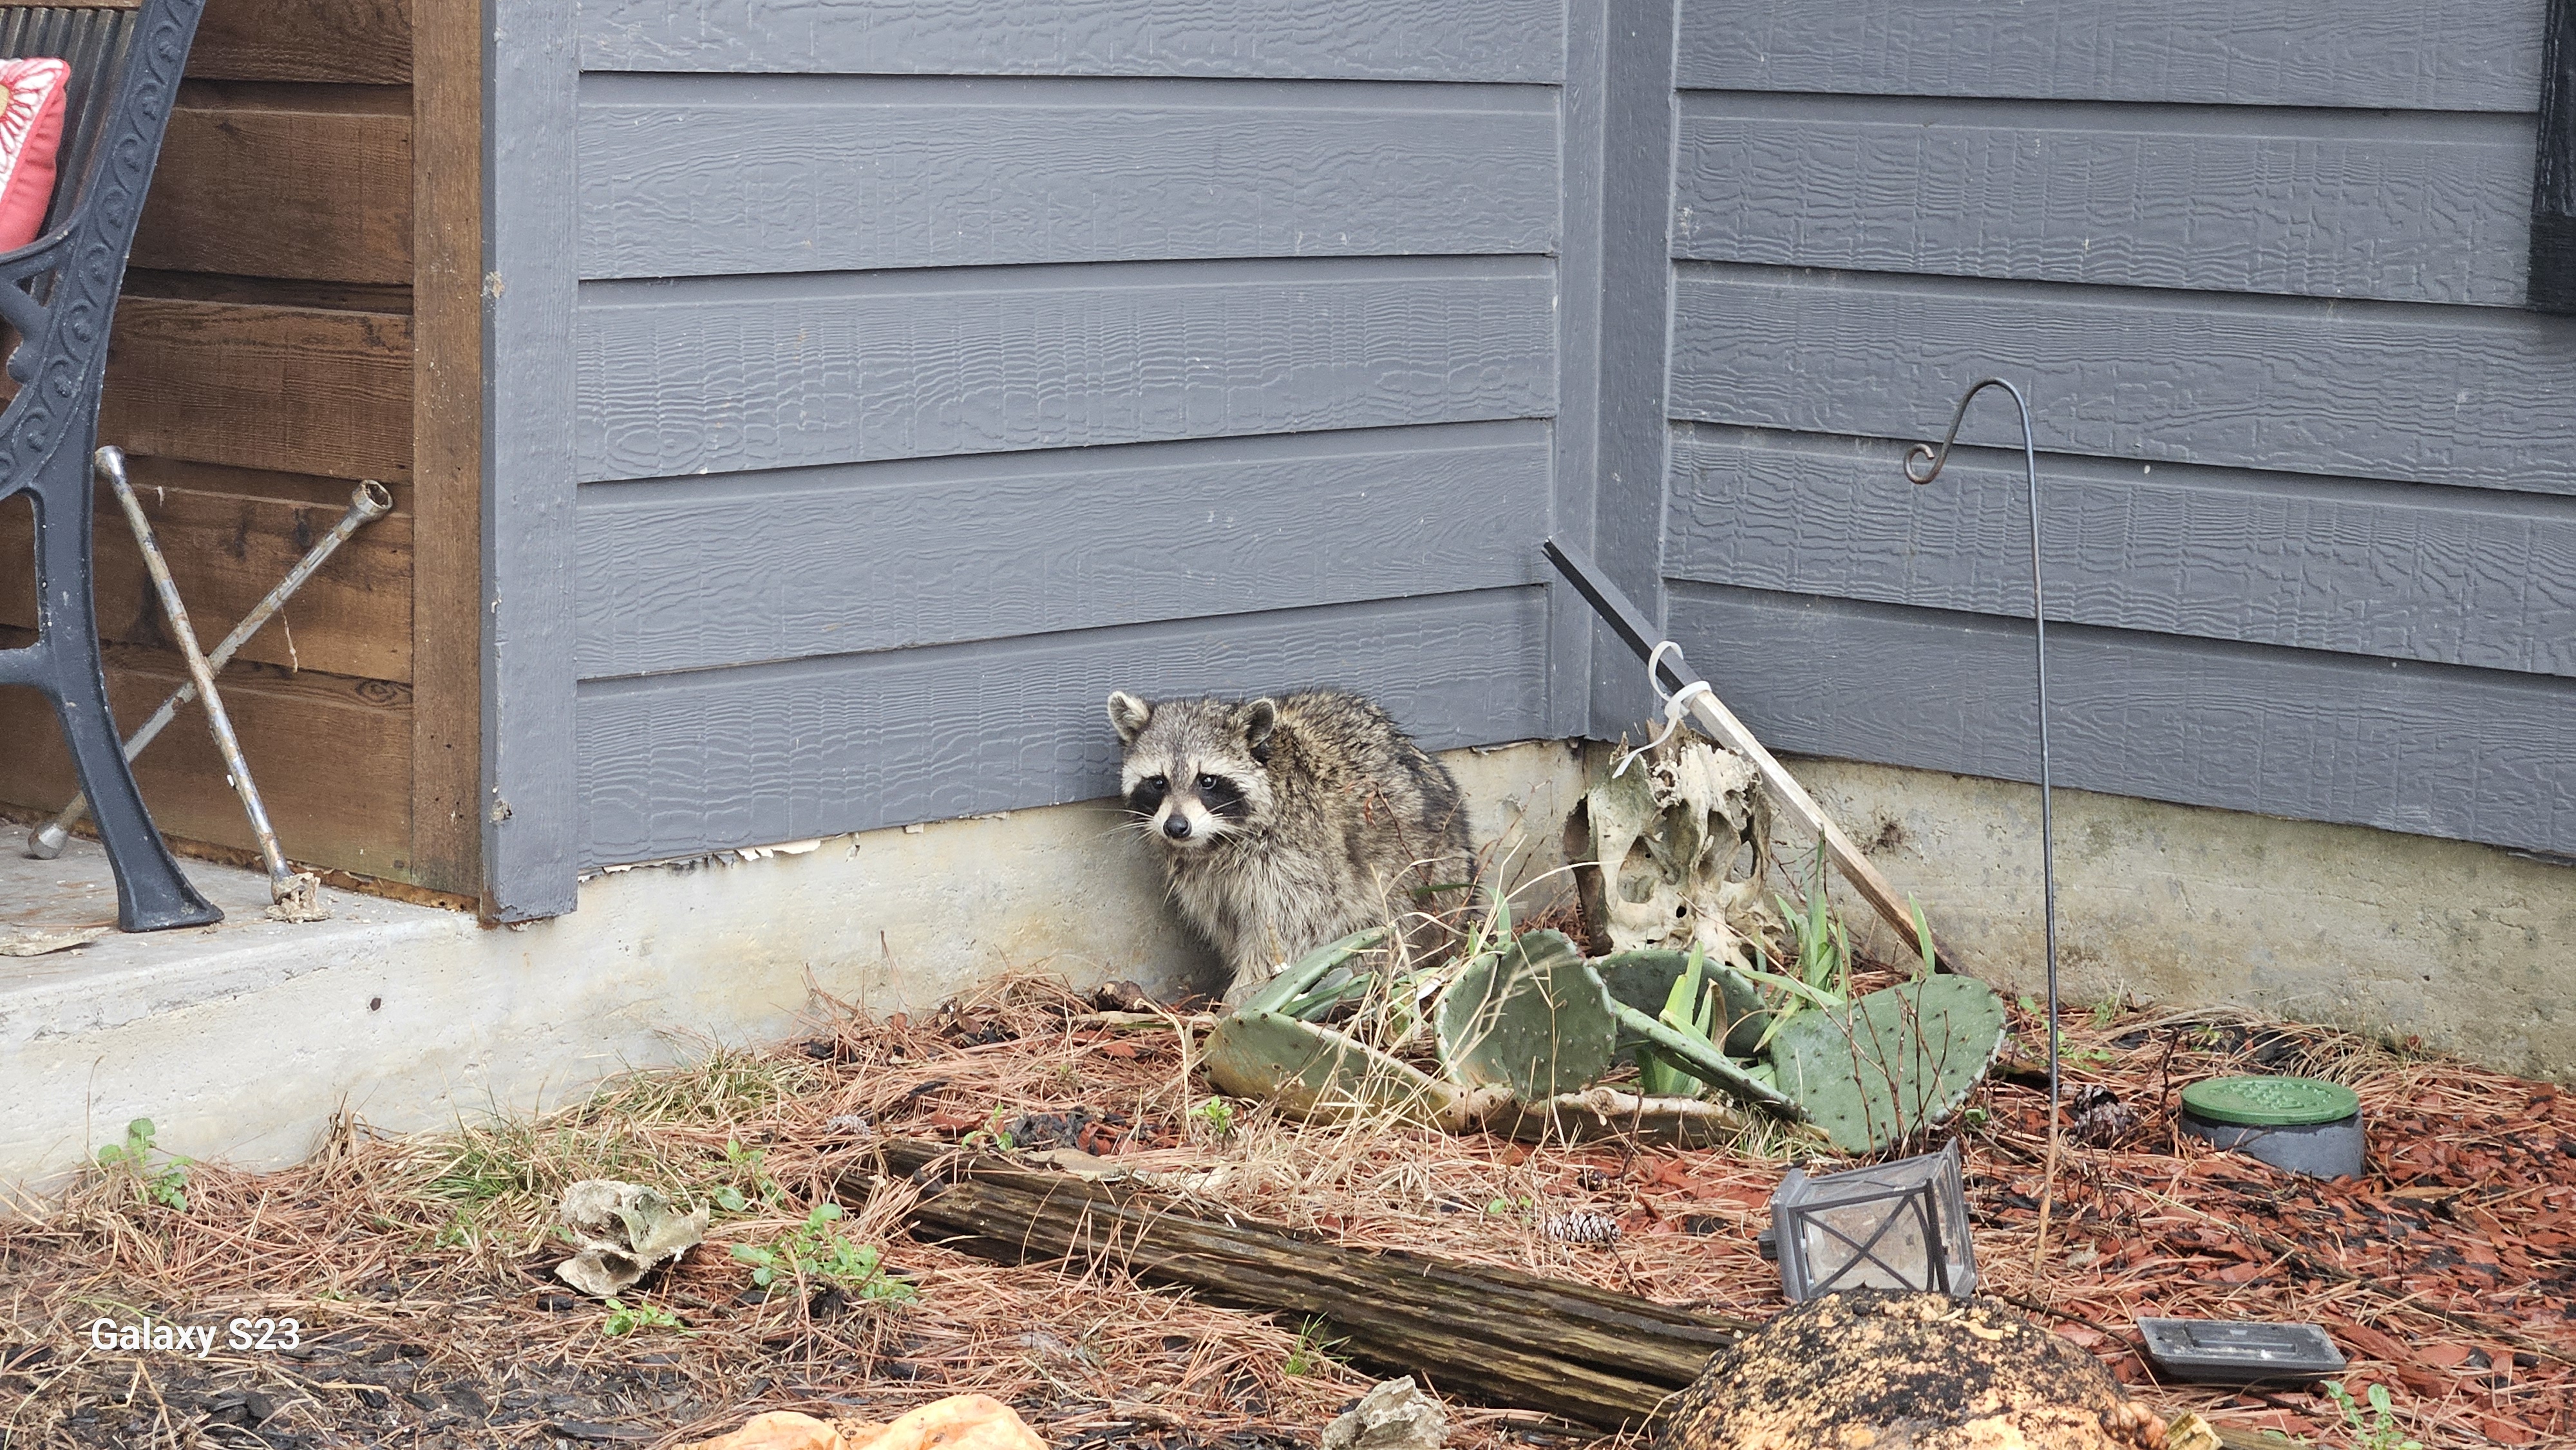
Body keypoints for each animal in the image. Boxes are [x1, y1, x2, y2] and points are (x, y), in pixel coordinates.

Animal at [1106, 688, 1473, 1005]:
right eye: (1158, 782)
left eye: (1207, 781)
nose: (1176, 827)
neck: (1218, 841)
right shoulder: (1207, 878)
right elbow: (1230, 923)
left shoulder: (1296, 853)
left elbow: (1291, 927)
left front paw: (1246, 992)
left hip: (1419, 885)